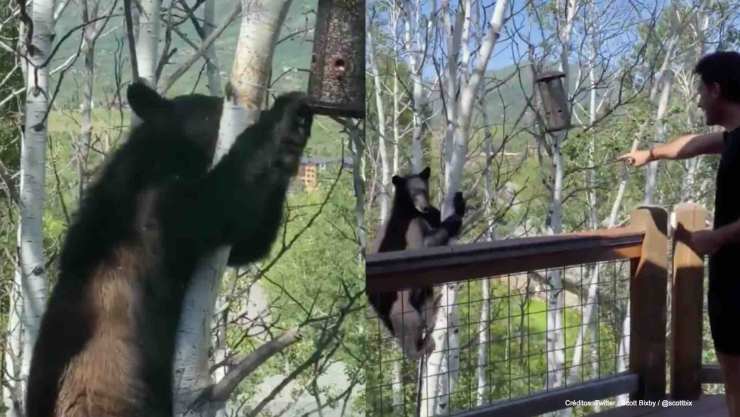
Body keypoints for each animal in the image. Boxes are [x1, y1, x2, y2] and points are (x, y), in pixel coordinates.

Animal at [25, 82, 313, 417]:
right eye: (217, 110)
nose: (263, 110)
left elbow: (247, 243)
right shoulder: (154, 207)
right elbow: (223, 201)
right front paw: (287, 117)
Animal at [368, 167, 465, 358]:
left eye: (424, 190)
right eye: (413, 194)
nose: (424, 206)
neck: (411, 211)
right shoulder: (411, 228)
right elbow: (426, 243)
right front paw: (457, 211)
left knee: (426, 301)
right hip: (401, 306)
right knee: (412, 322)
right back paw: (420, 347)